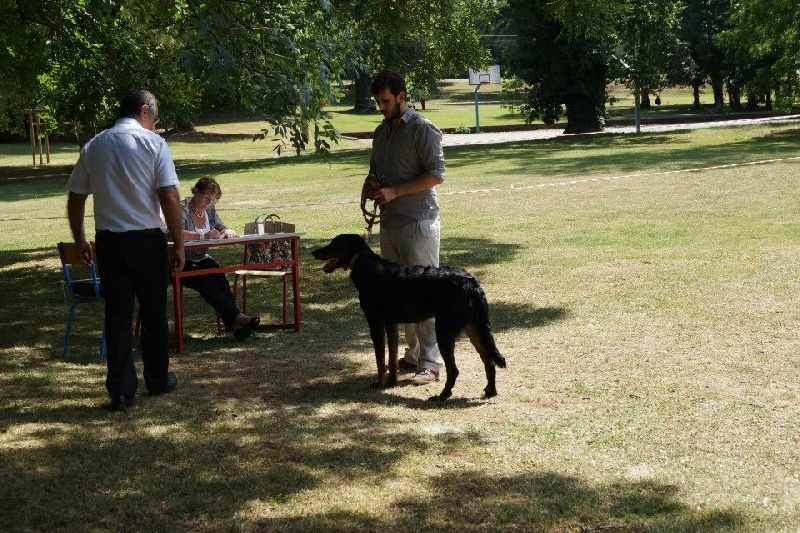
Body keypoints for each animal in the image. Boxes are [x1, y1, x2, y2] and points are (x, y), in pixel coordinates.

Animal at [312, 233, 506, 400]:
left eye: (334, 244)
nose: (314, 252)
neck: (365, 265)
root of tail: (471, 282)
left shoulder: (375, 323)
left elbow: (380, 360)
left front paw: (379, 384)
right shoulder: (391, 324)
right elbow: (391, 358)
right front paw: (391, 383)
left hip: (444, 332)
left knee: (454, 370)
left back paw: (442, 396)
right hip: (474, 329)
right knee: (489, 361)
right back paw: (491, 391)